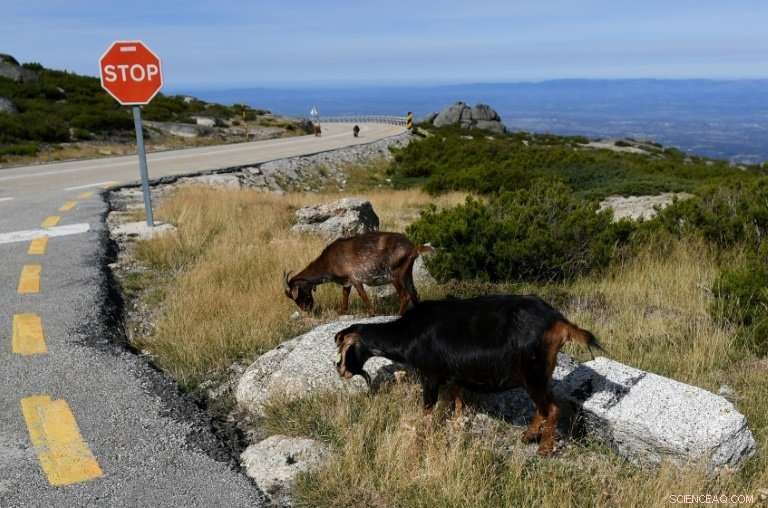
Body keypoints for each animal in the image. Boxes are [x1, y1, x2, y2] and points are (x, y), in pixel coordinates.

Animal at [284, 232, 433, 315]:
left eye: (298, 295)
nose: (307, 310)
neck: (329, 261)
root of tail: (413, 248)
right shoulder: (346, 281)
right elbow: (345, 294)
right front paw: (342, 311)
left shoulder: (355, 278)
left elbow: (362, 294)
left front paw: (372, 313)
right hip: (407, 274)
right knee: (414, 294)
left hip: (395, 273)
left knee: (405, 296)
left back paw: (398, 314)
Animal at [334, 294, 601, 456]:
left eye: (345, 348)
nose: (340, 370)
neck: (408, 332)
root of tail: (558, 321)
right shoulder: (453, 374)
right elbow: (458, 398)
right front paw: (459, 422)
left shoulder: (431, 375)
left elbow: (428, 407)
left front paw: (422, 435)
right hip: (539, 375)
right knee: (542, 406)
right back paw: (527, 436)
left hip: (532, 373)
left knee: (551, 408)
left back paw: (544, 449)